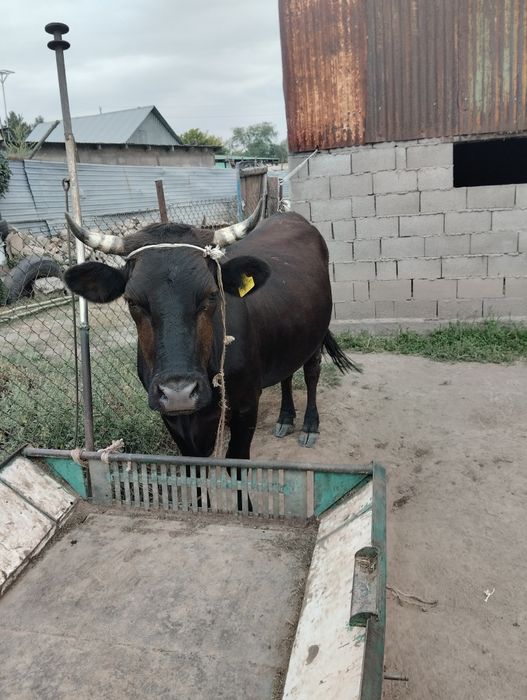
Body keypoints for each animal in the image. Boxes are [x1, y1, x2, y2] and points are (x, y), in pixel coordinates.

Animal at [64, 206, 360, 460]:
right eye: (132, 301)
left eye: (211, 294)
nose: (179, 392)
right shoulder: (172, 420)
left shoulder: (245, 408)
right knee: (287, 374)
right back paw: (285, 418)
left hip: (316, 336)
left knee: (311, 373)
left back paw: (310, 425)